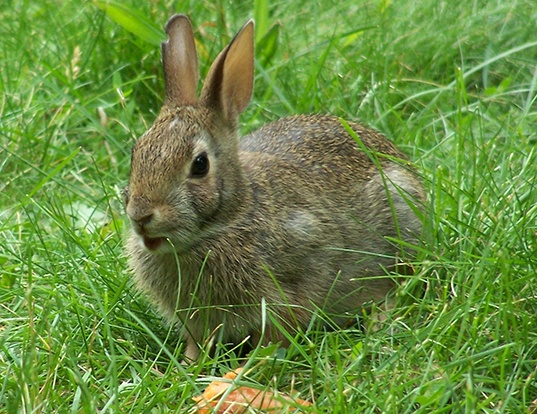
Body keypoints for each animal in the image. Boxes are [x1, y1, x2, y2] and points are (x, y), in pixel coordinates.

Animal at [122, 14, 422, 360]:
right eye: (136, 152)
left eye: (199, 165)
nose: (140, 216)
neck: (229, 220)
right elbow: (197, 343)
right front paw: (187, 363)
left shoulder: (289, 287)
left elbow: (275, 336)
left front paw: (248, 366)